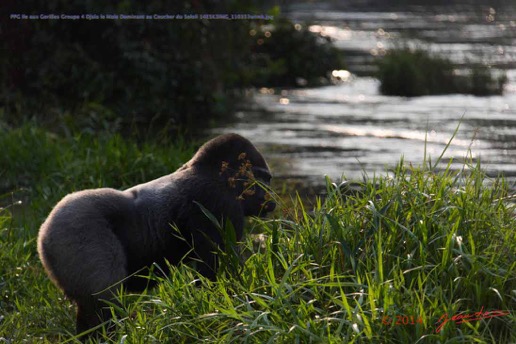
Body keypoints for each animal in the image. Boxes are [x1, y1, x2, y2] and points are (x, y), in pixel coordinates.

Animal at [36, 134, 276, 336]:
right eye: (264, 178)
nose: (271, 198)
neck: (211, 171)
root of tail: (43, 233)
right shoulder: (221, 202)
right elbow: (217, 271)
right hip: (79, 228)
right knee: (104, 300)